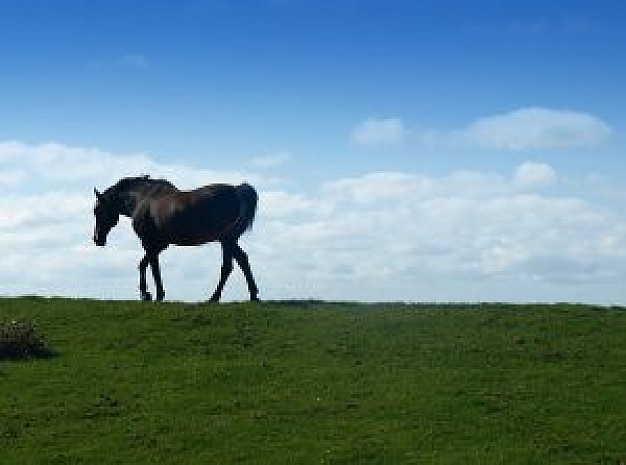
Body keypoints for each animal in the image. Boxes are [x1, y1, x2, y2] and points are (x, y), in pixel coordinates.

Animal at [92, 174, 258, 300]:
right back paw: (253, 295)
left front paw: (156, 294)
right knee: (243, 261)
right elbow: (143, 264)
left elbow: (153, 267)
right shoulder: (161, 244)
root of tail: (237, 190)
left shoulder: (148, 242)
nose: (97, 239)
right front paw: (146, 294)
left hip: (226, 240)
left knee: (227, 267)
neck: (142, 198)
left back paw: (214, 297)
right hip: (230, 240)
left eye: (97, 210)